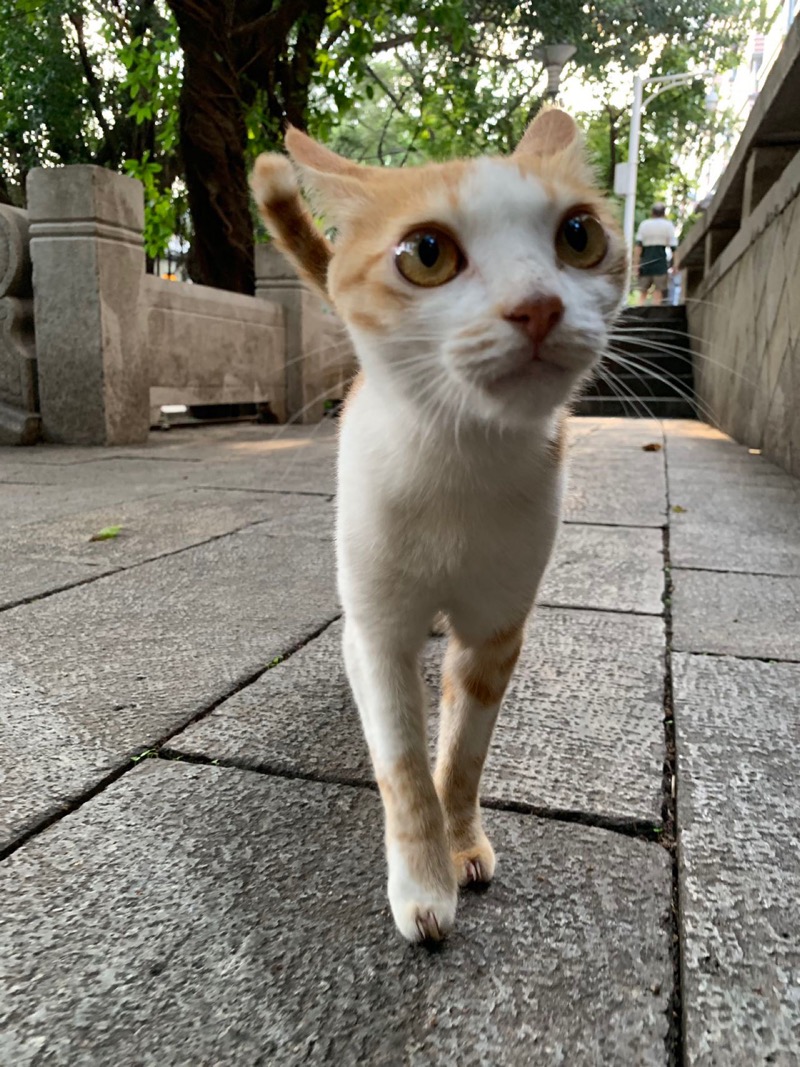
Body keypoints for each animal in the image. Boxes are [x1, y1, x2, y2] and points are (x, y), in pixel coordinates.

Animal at [249, 108, 627, 943]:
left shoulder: (496, 629)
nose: (539, 305)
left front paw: (463, 842)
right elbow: (405, 767)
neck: (461, 467)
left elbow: (462, 756)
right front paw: (423, 881)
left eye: (579, 235)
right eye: (426, 253)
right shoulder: (382, 629)